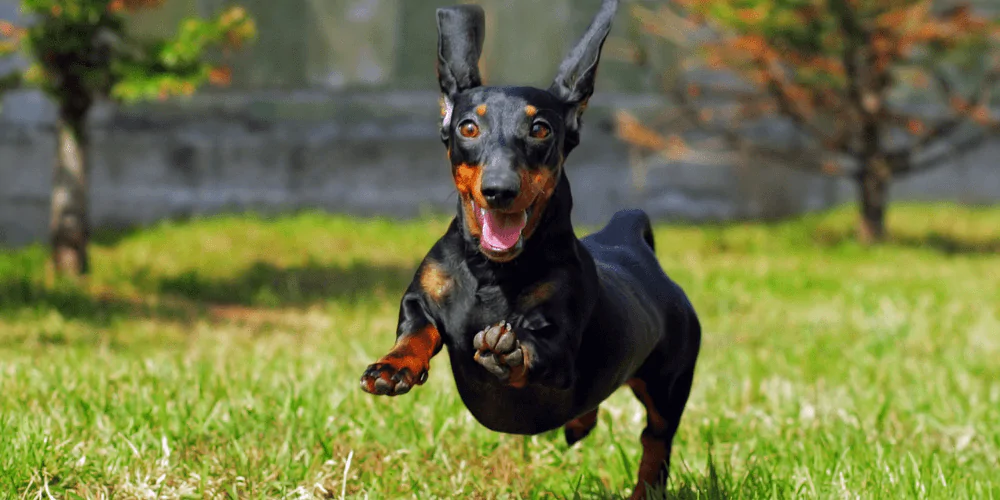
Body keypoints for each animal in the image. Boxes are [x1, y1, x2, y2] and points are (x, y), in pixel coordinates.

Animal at [362, 1, 704, 498]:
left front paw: (508, 351)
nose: (499, 190)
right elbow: (417, 329)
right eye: (468, 126)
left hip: (668, 384)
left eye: (540, 129)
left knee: (655, 440)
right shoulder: (419, 298)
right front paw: (393, 366)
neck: (492, 272)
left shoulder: (560, 345)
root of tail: (630, 240)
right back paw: (579, 424)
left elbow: (539, 351)